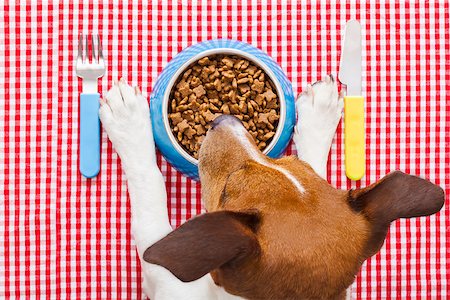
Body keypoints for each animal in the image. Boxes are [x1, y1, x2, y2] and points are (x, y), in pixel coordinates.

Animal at [98, 76, 442, 298]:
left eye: (227, 189)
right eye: (287, 162)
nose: (223, 119)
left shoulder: (163, 276)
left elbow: (149, 188)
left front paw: (127, 119)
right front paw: (320, 111)